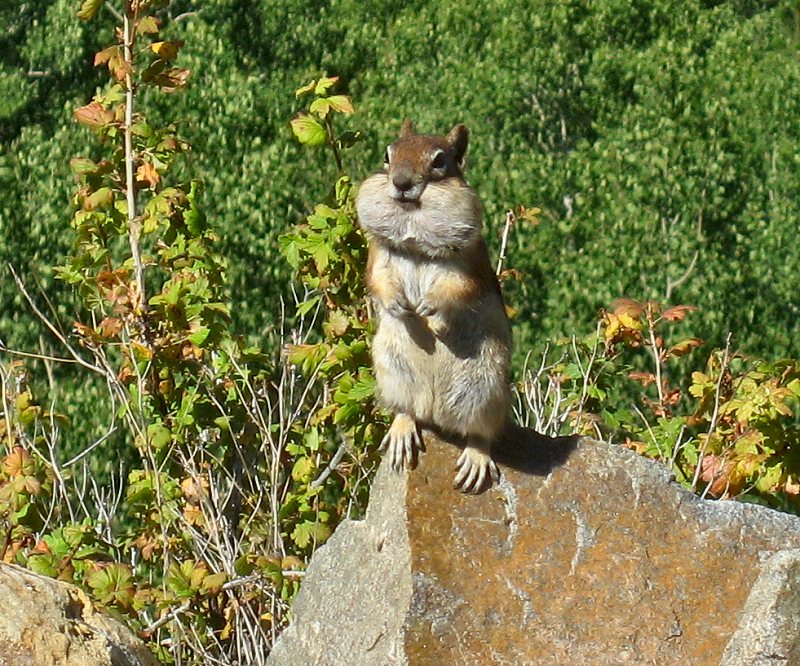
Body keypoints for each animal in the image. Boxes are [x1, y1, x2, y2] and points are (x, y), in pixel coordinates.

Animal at [355, 119, 512, 494]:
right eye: (388, 155)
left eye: (440, 161)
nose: (400, 182)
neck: (415, 242)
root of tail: (434, 410)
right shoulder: (378, 257)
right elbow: (377, 281)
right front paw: (399, 305)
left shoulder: (471, 262)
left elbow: (460, 288)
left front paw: (429, 308)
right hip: (390, 368)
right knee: (406, 409)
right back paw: (402, 430)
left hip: (486, 386)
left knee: (482, 432)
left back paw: (476, 457)